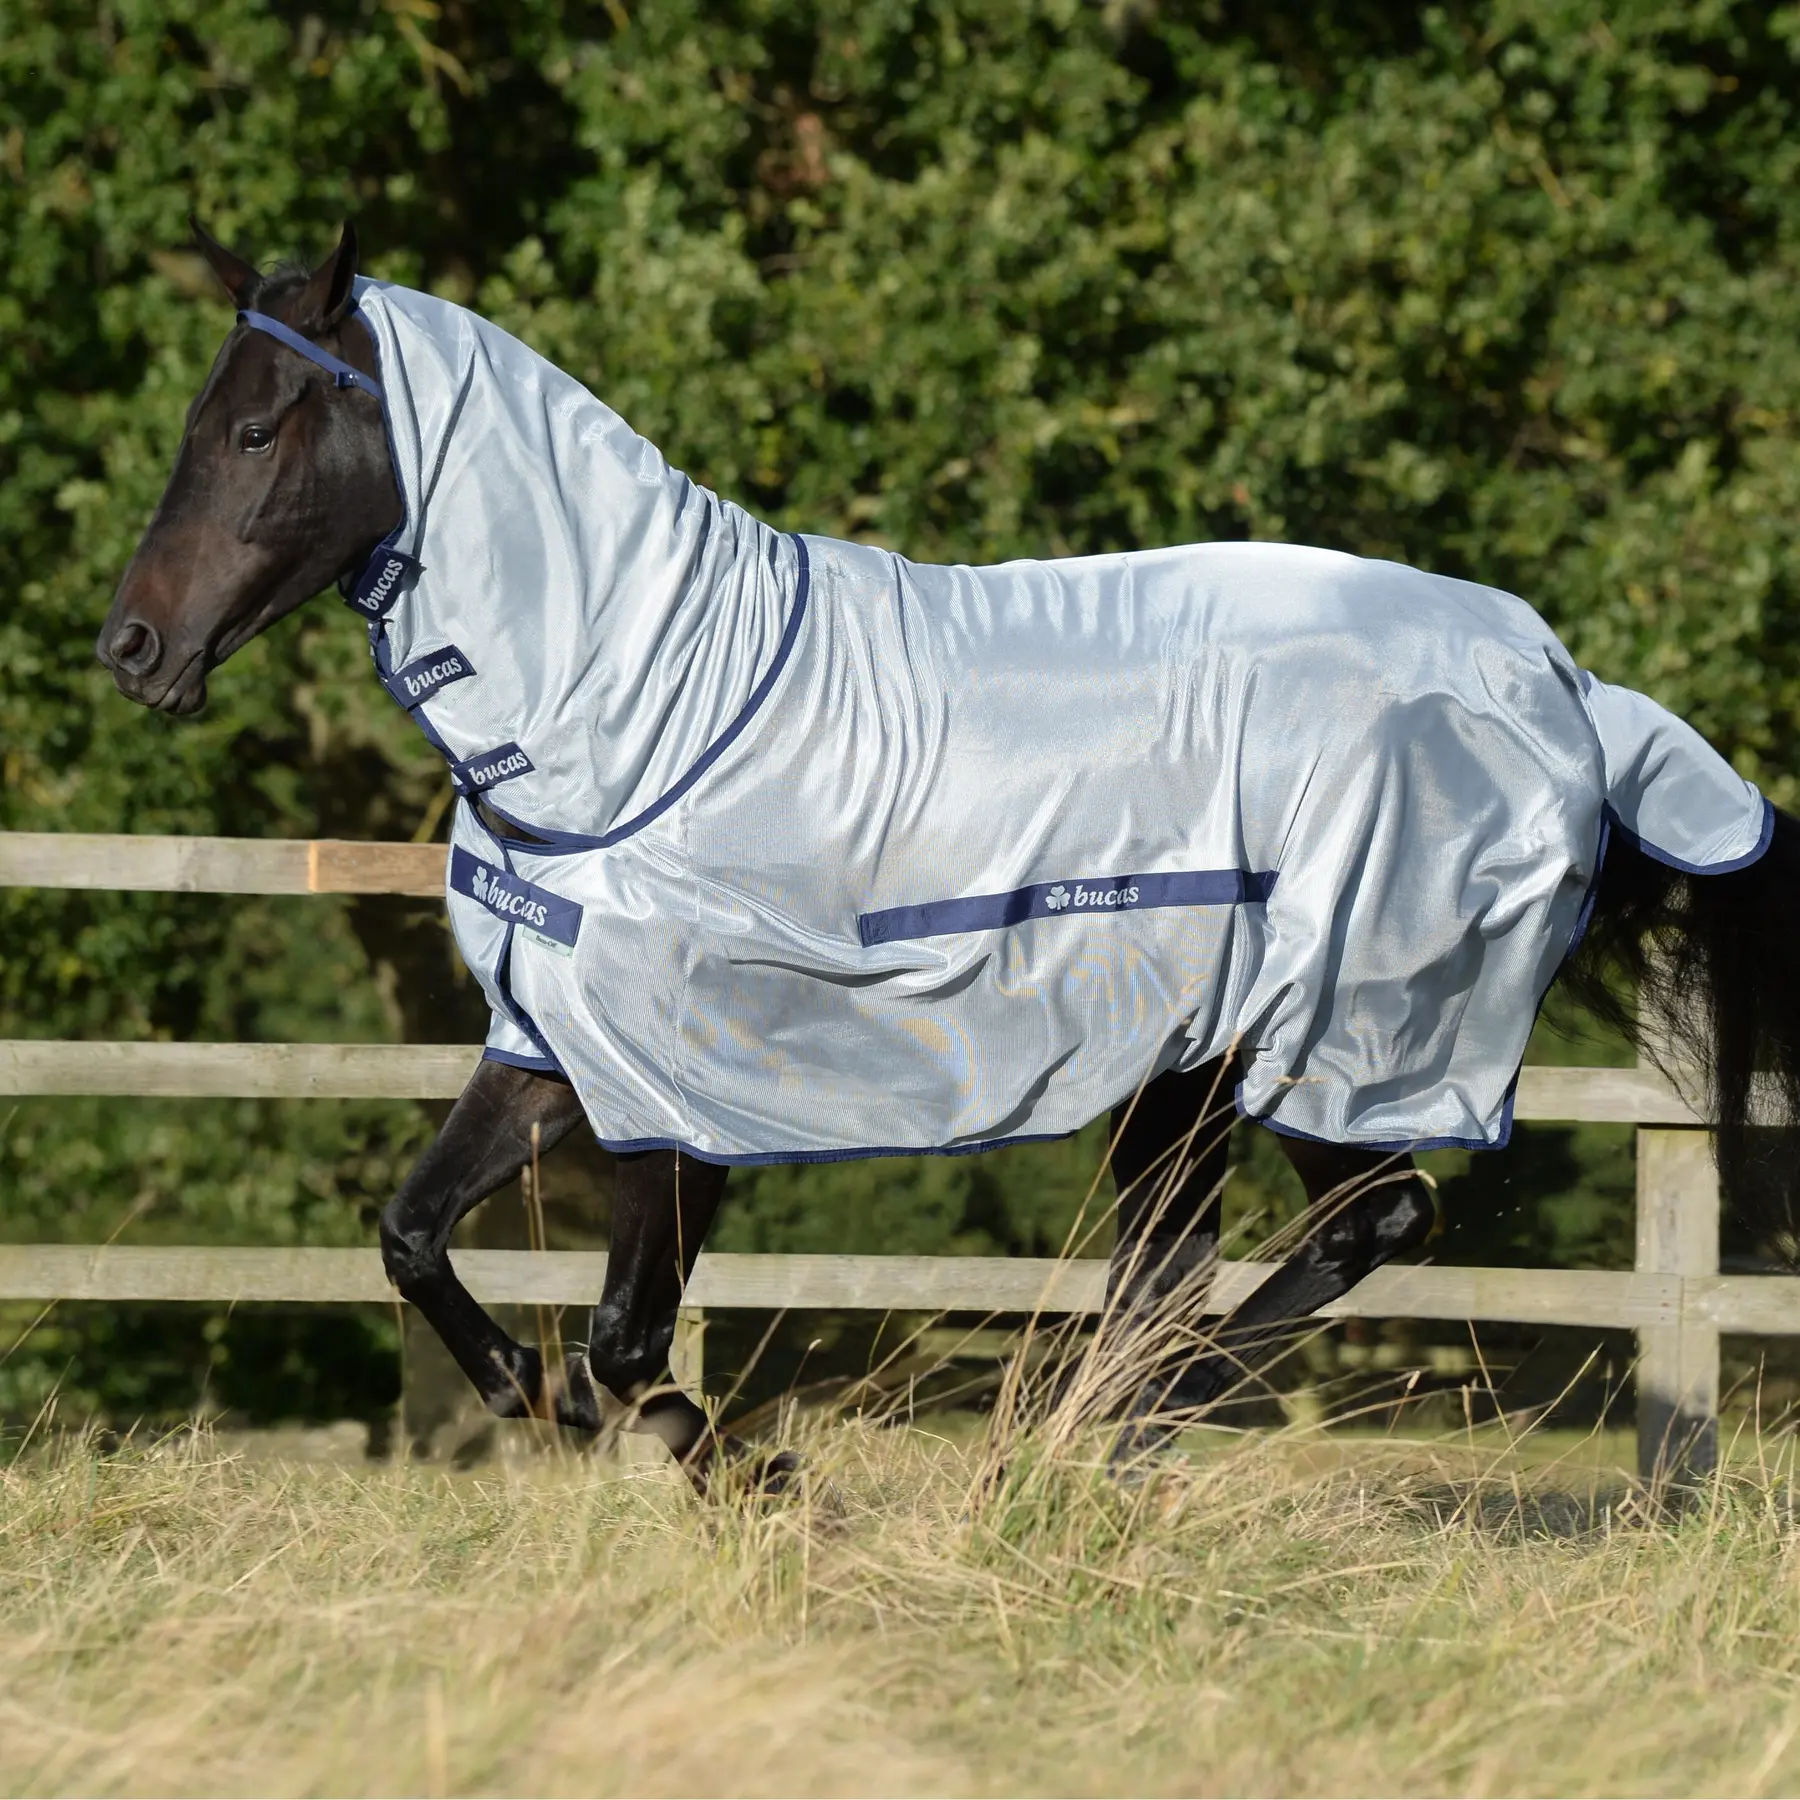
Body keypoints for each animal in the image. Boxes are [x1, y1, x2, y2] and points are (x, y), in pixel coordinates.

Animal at [97, 222, 1800, 1483]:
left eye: (254, 426)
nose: (132, 650)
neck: (644, 707)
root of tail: (1553, 675)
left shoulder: (687, 1079)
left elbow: (634, 1339)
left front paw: (727, 1461)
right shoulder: (557, 1039)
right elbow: (412, 1237)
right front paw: (532, 1390)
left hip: (1336, 1030)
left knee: (1368, 1221)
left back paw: (1080, 1432)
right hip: (1190, 1064)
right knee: (1180, 1261)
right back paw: (1075, 1438)